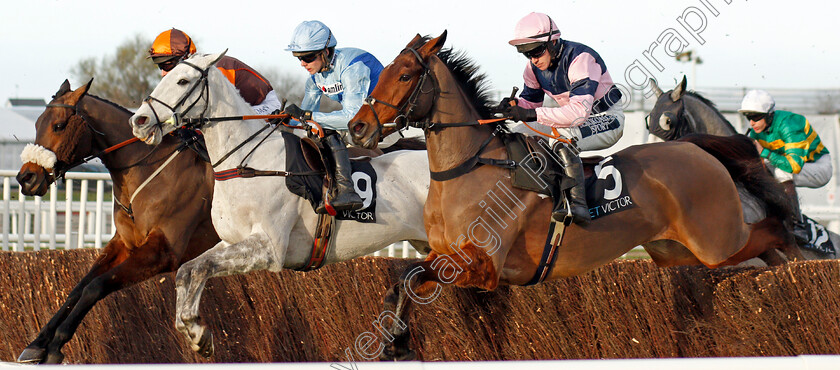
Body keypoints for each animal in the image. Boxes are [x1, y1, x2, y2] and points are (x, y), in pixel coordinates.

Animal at [14, 79, 218, 362]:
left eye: (59, 125)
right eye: (36, 124)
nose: (26, 178)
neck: (149, 173)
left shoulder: (163, 253)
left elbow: (95, 286)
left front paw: (55, 345)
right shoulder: (124, 244)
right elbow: (79, 287)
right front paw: (37, 343)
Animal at [130, 52, 434, 358]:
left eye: (182, 81)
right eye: (165, 75)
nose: (139, 120)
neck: (247, 162)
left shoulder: (270, 249)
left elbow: (203, 267)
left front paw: (196, 330)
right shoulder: (231, 241)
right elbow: (188, 270)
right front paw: (195, 332)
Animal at [348, 31, 800, 358]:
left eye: (405, 76)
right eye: (384, 71)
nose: (357, 127)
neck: (470, 167)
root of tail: (693, 147)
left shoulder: (484, 267)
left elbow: (409, 276)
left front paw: (397, 342)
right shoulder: (443, 256)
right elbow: (403, 278)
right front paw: (395, 342)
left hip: (717, 241)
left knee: (771, 232)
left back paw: (796, 261)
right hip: (676, 251)